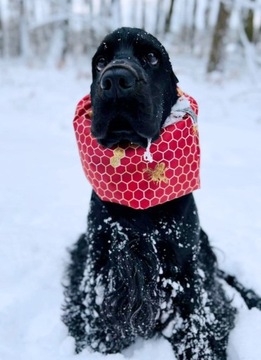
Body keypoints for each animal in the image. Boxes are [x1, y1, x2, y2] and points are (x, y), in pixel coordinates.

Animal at [63, 28, 260, 360]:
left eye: (152, 57)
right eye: (100, 61)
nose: (115, 80)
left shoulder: (186, 266)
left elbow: (199, 326)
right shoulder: (100, 261)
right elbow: (97, 321)